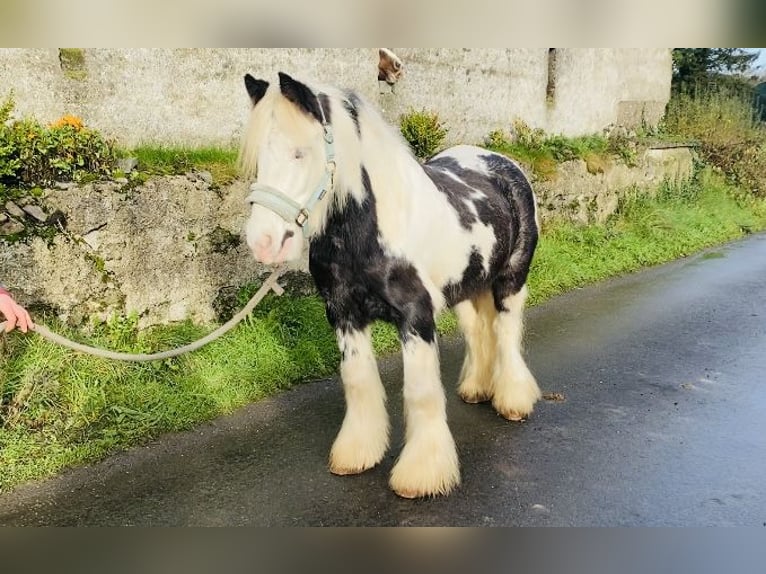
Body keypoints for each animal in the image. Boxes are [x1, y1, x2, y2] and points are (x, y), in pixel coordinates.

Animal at [240, 72, 540, 500]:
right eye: (259, 158)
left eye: (301, 153)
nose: (263, 242)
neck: (370, 231)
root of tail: (502, 163)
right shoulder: (343, 314)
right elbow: (358, 381)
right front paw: (356, 454)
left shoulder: (416, 317)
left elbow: (420, 392)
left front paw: (421, 475)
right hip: (467, 289)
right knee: (478, 331)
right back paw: (477, 388)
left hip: (510, 282)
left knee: (507, 332)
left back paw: (513, 400)